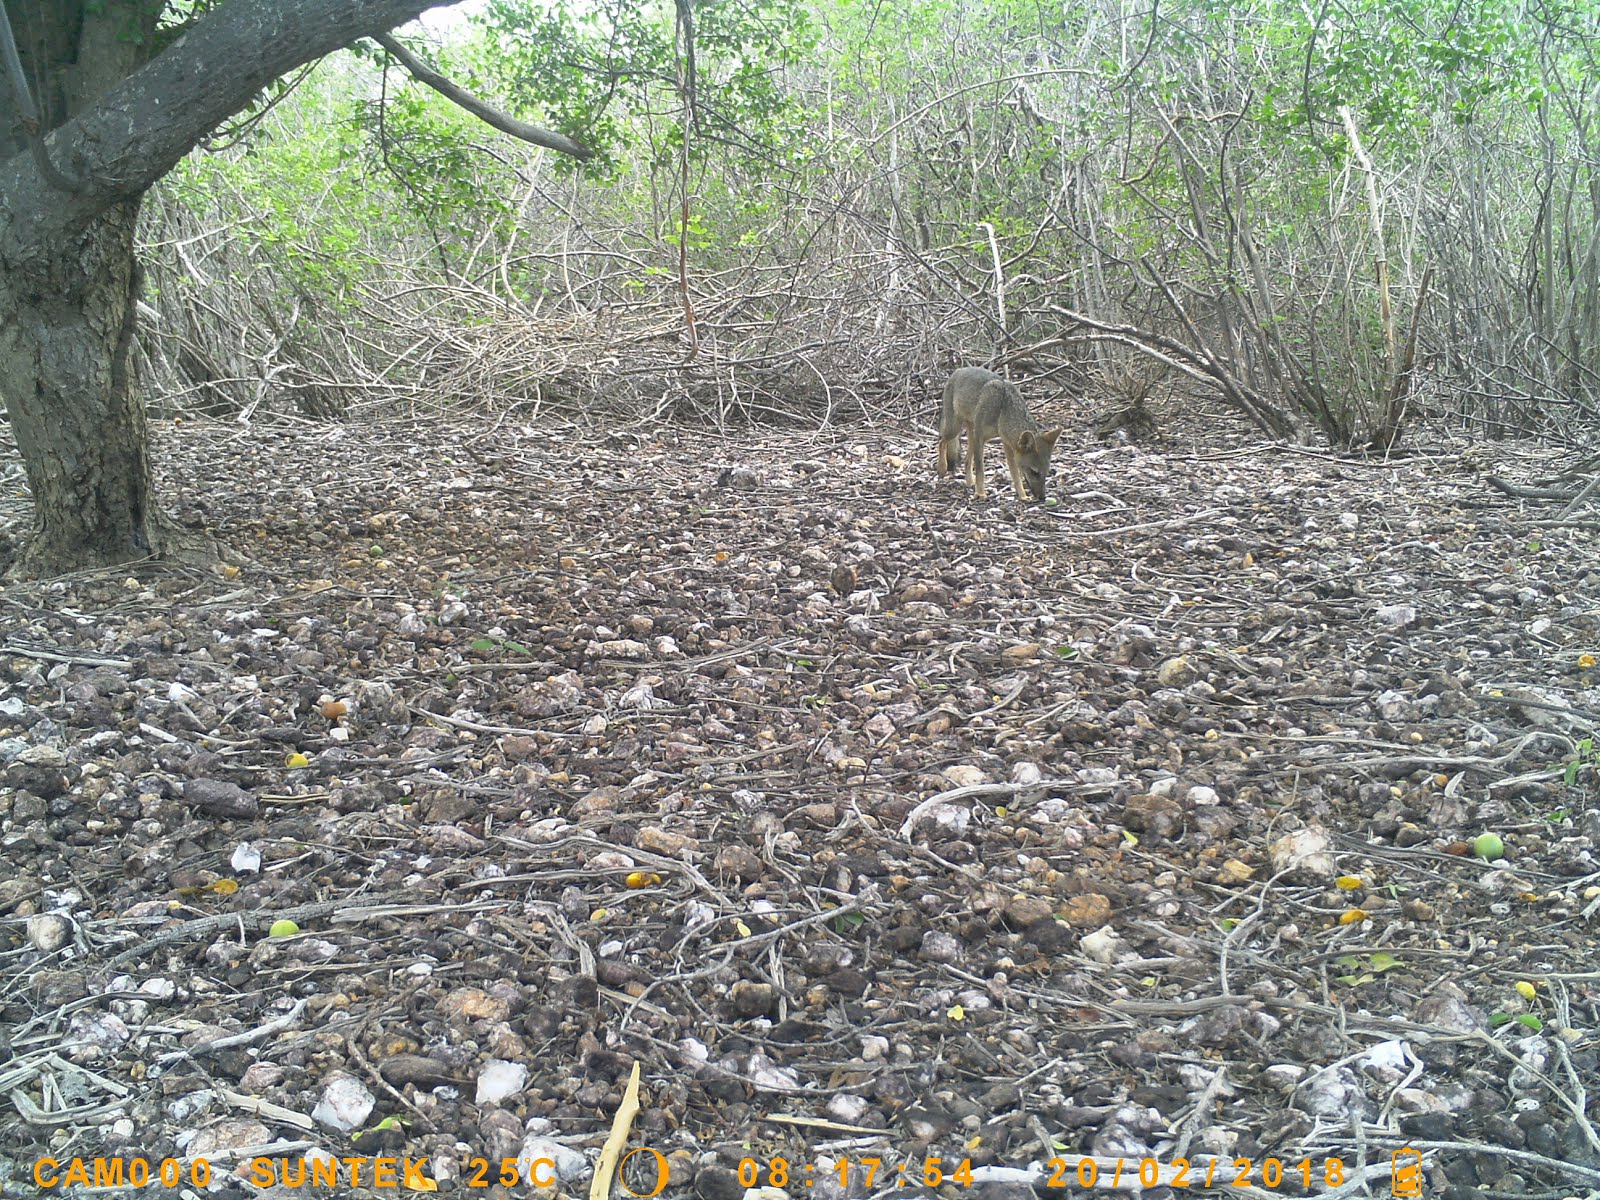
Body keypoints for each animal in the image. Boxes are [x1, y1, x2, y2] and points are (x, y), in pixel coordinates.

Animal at [934, 364, 1062, 499]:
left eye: (1046, 473)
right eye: (1034, 472)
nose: (1042, 497)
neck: (1002, 409)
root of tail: (958, 370)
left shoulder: (1007, 444)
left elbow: (1015, 474)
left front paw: (1022, 496)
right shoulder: (980, 437)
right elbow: (980, 469)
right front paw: (981, 493)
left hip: (971, 434)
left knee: (966, 460)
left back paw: (970, 482)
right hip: (955, 428)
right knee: (941, 441)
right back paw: (942, 468)